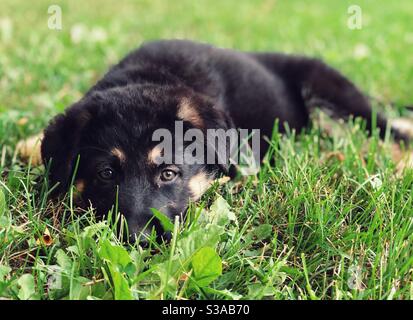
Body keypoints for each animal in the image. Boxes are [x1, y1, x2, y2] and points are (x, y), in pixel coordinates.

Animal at [39, 39, 408, 240]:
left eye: (169, 173)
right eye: (106, 174)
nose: (138, 240)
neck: (151, 76)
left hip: (333, 88)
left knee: (384, 128)